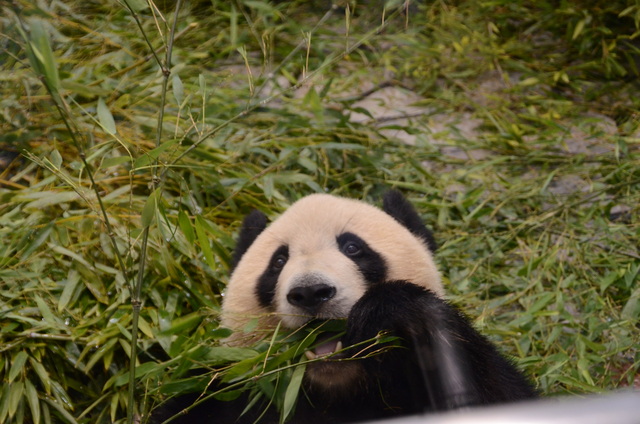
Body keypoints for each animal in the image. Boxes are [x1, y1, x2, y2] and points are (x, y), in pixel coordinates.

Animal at [154, 192, 536, 424]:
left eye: (353, 248)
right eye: (278, 261)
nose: (311, 292)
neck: (337, 389)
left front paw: (386, 310)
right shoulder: (222, 392)